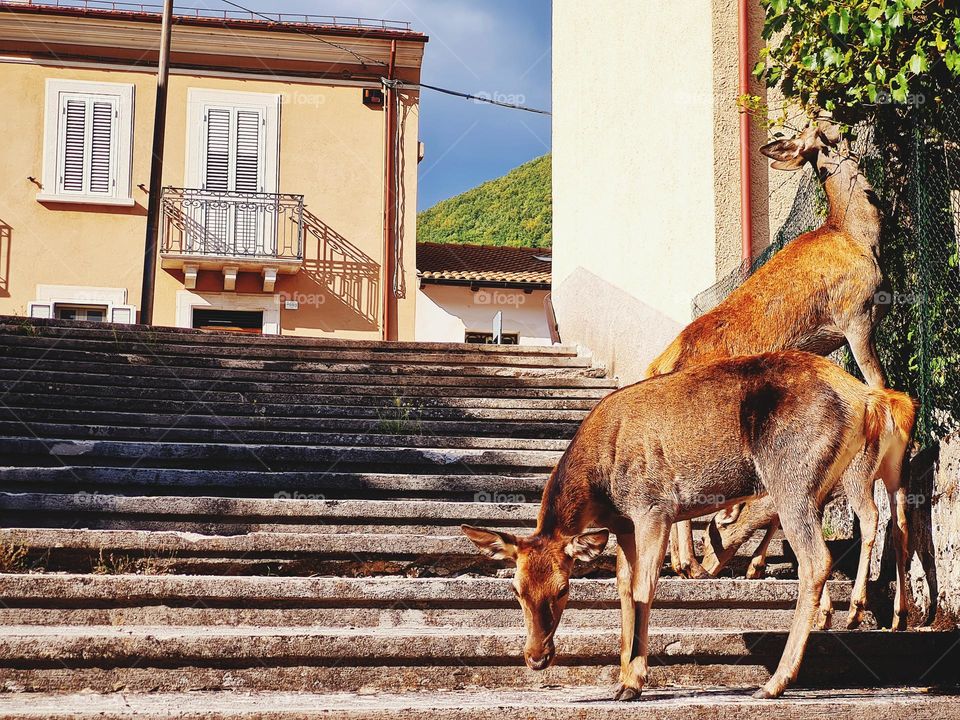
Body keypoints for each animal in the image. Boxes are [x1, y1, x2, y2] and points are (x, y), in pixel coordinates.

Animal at [463, 351, 915, 700]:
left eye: (563, 589)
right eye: (516, 590)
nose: (537, 657)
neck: (600, 485)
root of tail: (869, 400)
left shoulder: (654, 509)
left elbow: (645, 588)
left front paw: (634, 682)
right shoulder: (624, 526)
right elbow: (623, 589)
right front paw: (622, 677)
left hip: (794, 479)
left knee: (817, 558)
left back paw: (775, 681)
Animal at [645, 120, 891, 581]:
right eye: (818, 127)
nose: (840, 124)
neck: (856, 235)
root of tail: (659, 365)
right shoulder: (855, 314)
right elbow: (878, 381)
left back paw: (685, 561)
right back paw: (690, 563)